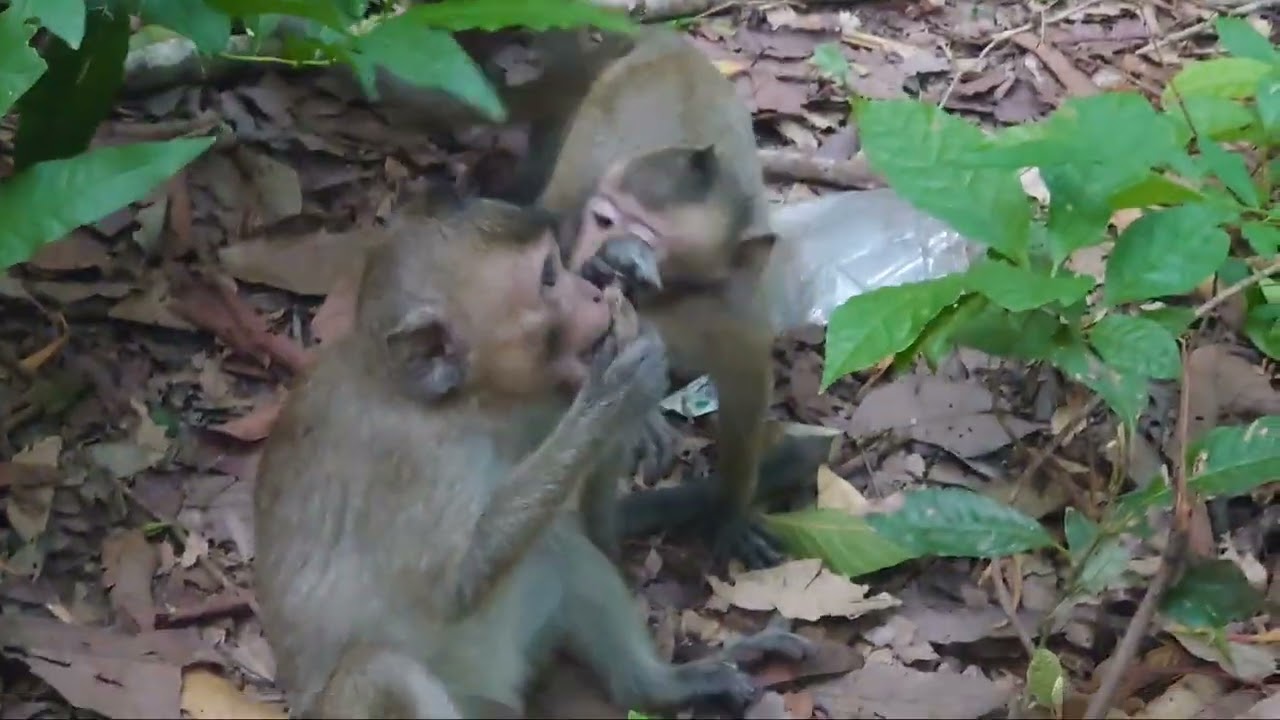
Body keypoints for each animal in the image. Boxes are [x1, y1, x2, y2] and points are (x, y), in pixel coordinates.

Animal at [252, 199, 811, 718]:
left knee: (560, 545)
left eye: (558, 264)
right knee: (379, 672)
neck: (466, 404)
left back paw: (659, 687)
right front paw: (616, 396)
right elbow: (455, 583)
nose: (591, 291)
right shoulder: (409, 459)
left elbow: (592, 529)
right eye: (547, 277)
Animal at [514, 26, 786, 569]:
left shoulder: (734, 308)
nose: (607, 258)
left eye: (645, 243)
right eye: (604, 221)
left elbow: (746, 391)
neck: (671, 302)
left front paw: (731, 508)